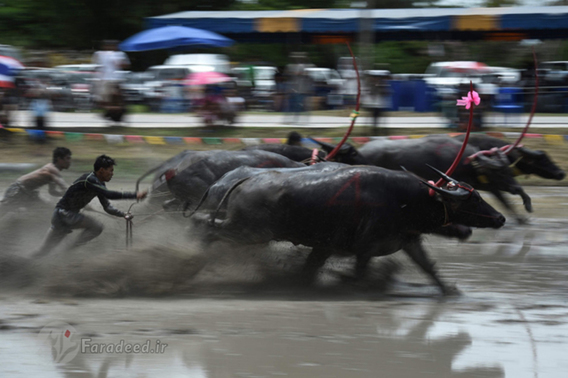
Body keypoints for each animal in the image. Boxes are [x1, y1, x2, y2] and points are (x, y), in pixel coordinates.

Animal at [193, 164, 504, 294]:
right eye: (474, 199)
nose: (500, 218)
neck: (405, 199)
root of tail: (243, 180)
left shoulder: (407, 241)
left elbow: (428, 267)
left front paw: (449, 290)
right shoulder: (365, 247)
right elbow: (359, 272)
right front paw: (348, 283)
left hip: (247, 230)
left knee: (205, 223)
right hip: (251, 232)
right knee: (206, 227)